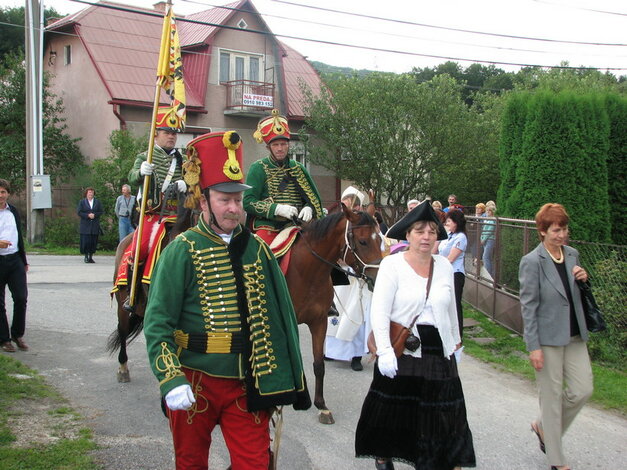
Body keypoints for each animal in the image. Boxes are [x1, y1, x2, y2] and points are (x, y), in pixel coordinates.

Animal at [286, 204, 382, 424]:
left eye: (381, 239)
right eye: (363, 241)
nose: (378, 278)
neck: (307, 273)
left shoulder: (319, 322)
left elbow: (319, 364)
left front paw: (321, 405)